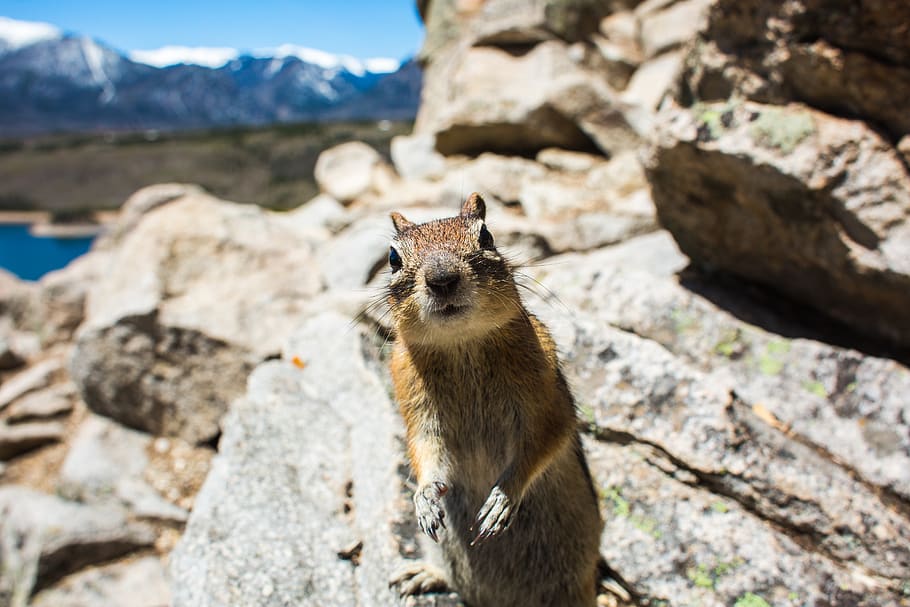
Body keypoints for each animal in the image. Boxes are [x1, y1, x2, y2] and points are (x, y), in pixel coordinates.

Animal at [386, 192, 604, 604]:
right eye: (393, 258)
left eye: (486, 236)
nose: (442, 279)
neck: (461, 343)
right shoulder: (414, 401)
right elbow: (424, 449)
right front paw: (425, 499)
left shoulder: (545, 395)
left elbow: (546, 439)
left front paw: (502, 499)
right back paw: (423, 574)